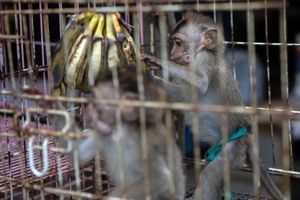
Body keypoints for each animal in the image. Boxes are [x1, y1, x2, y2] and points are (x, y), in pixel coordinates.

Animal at [142, 12, 284, 200]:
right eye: (173, 43)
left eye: (178, 43)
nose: (172, 53)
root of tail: (245, 135)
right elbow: (182, 97)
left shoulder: (205, 60)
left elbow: (201, 82)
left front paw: (158, 64)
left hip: (233, 151)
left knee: (209, 176)